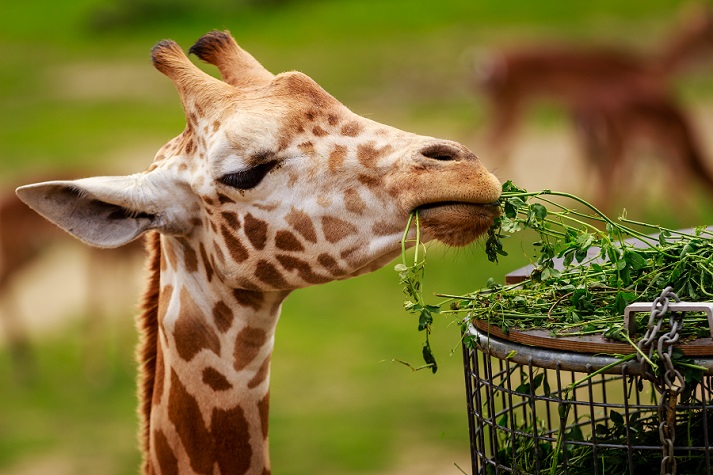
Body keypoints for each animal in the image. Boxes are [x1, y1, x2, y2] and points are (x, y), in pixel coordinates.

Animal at [476, 3, 712, 211]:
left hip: (504, 105)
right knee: (497, 140)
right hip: (515, 104)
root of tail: (486, 60)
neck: (653, 70)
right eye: (706, 32)